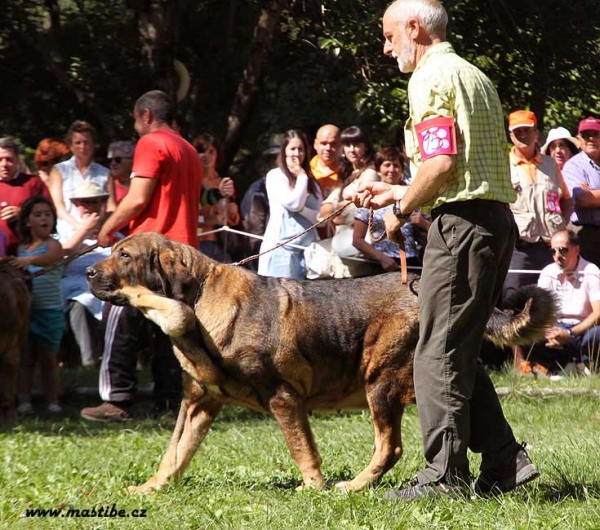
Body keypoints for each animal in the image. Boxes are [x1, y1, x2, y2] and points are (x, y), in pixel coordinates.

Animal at [86, 231, 556, 490]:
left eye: (124, 255)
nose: (89, 272)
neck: (198, 299)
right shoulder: (199, 403)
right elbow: (175, 453)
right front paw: (152, 488)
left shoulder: (283, 398)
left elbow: (302, 450)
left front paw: (314, 489)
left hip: (380, 382)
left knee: (390, 446)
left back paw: (354, 487)